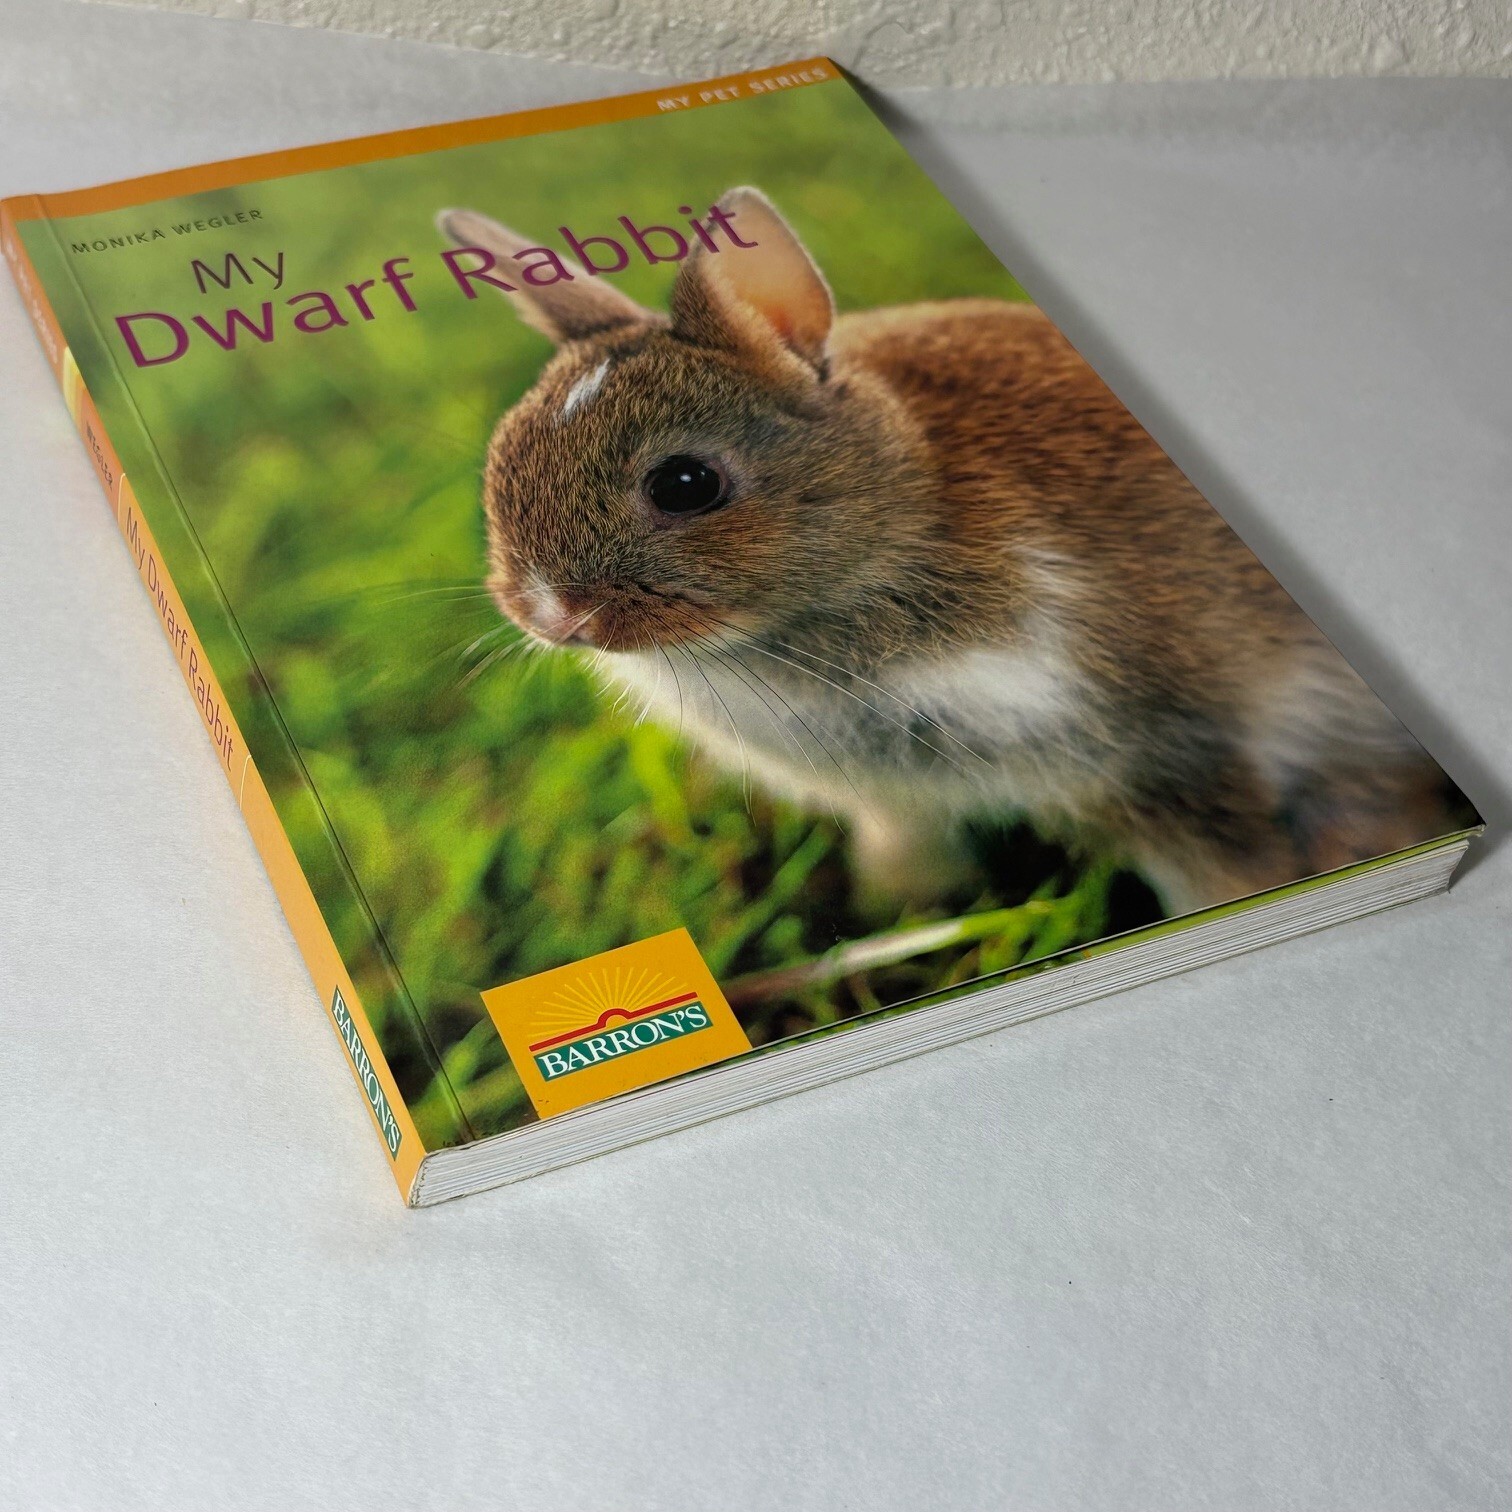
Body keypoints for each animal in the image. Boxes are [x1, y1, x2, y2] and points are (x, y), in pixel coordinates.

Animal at [437, 188, 1468, 917]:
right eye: (503, 458)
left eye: (686, 485)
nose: (551, 614)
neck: (894, 524)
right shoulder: (896, 801)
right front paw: (892, 913)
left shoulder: (1169, 751)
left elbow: (1221, 866)